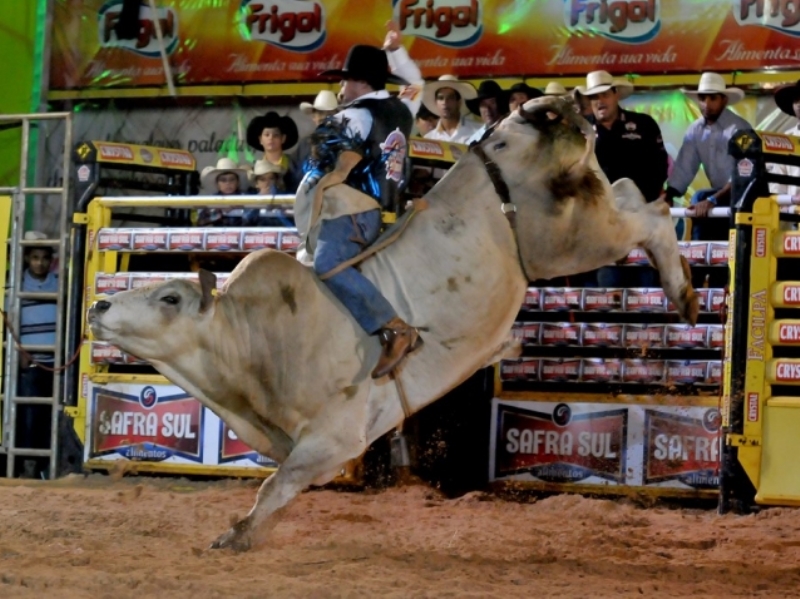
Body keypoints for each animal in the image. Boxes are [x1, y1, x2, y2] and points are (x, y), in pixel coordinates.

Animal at [89, 96, 700, 552]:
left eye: (170, 297)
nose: (98, 308)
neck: (255, 340)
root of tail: (522, 120)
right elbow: (281, 487)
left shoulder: (334, 438)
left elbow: (274, 487)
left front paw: (236, 536)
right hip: (588, 213)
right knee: (631, 194)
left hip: (568, 239)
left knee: (652, 217)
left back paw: (685, 294)